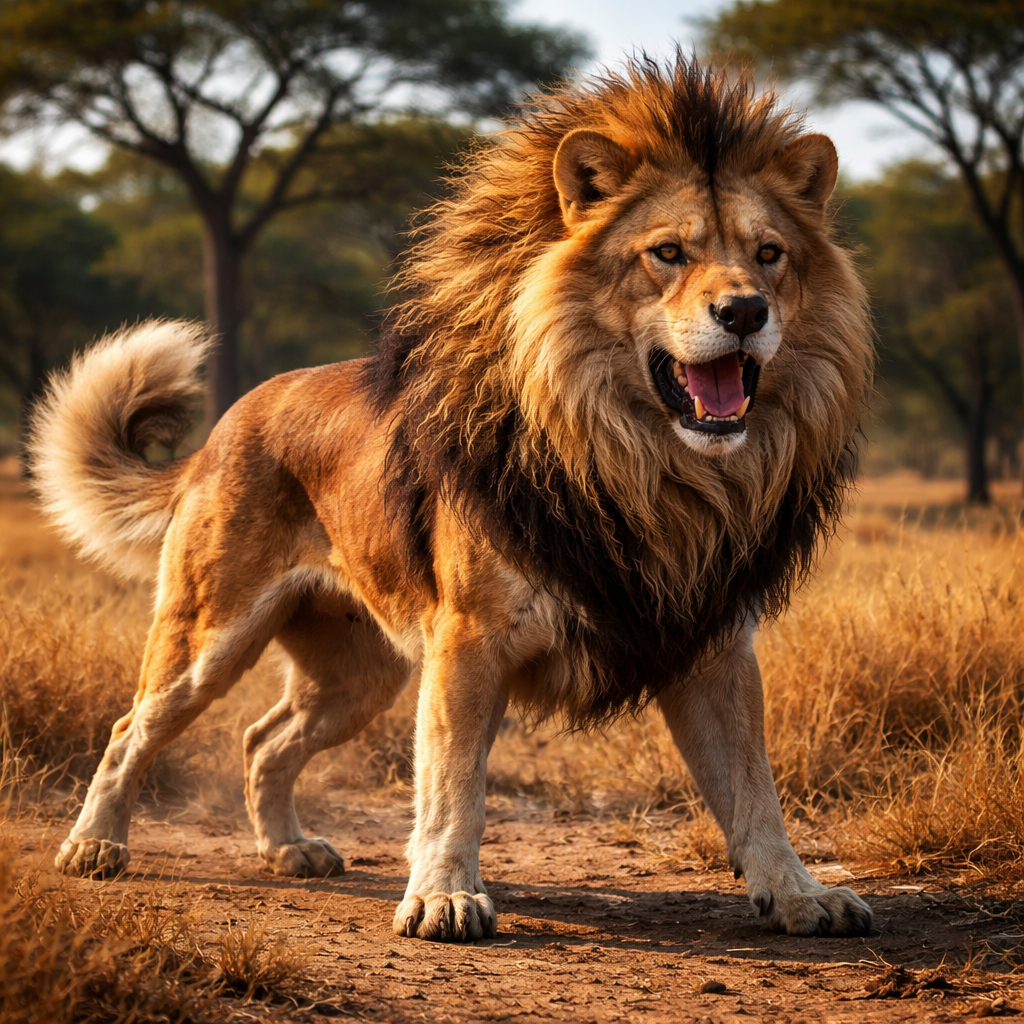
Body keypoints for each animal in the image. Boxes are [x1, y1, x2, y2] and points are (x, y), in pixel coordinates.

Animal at [30, 57, 873, 942]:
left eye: (770, 253)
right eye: (668, 253)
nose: (744, 311)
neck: (648, 468)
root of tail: (225, 425)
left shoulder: (714, 643)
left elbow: (754, 788)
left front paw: (801, 893)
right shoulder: (469, 639)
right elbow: (452, 784)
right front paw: (444, 897)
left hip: (359, 675)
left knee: (265, 739)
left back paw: (289, 849)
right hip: (210, 635)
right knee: (133, 728)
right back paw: (94, 847)